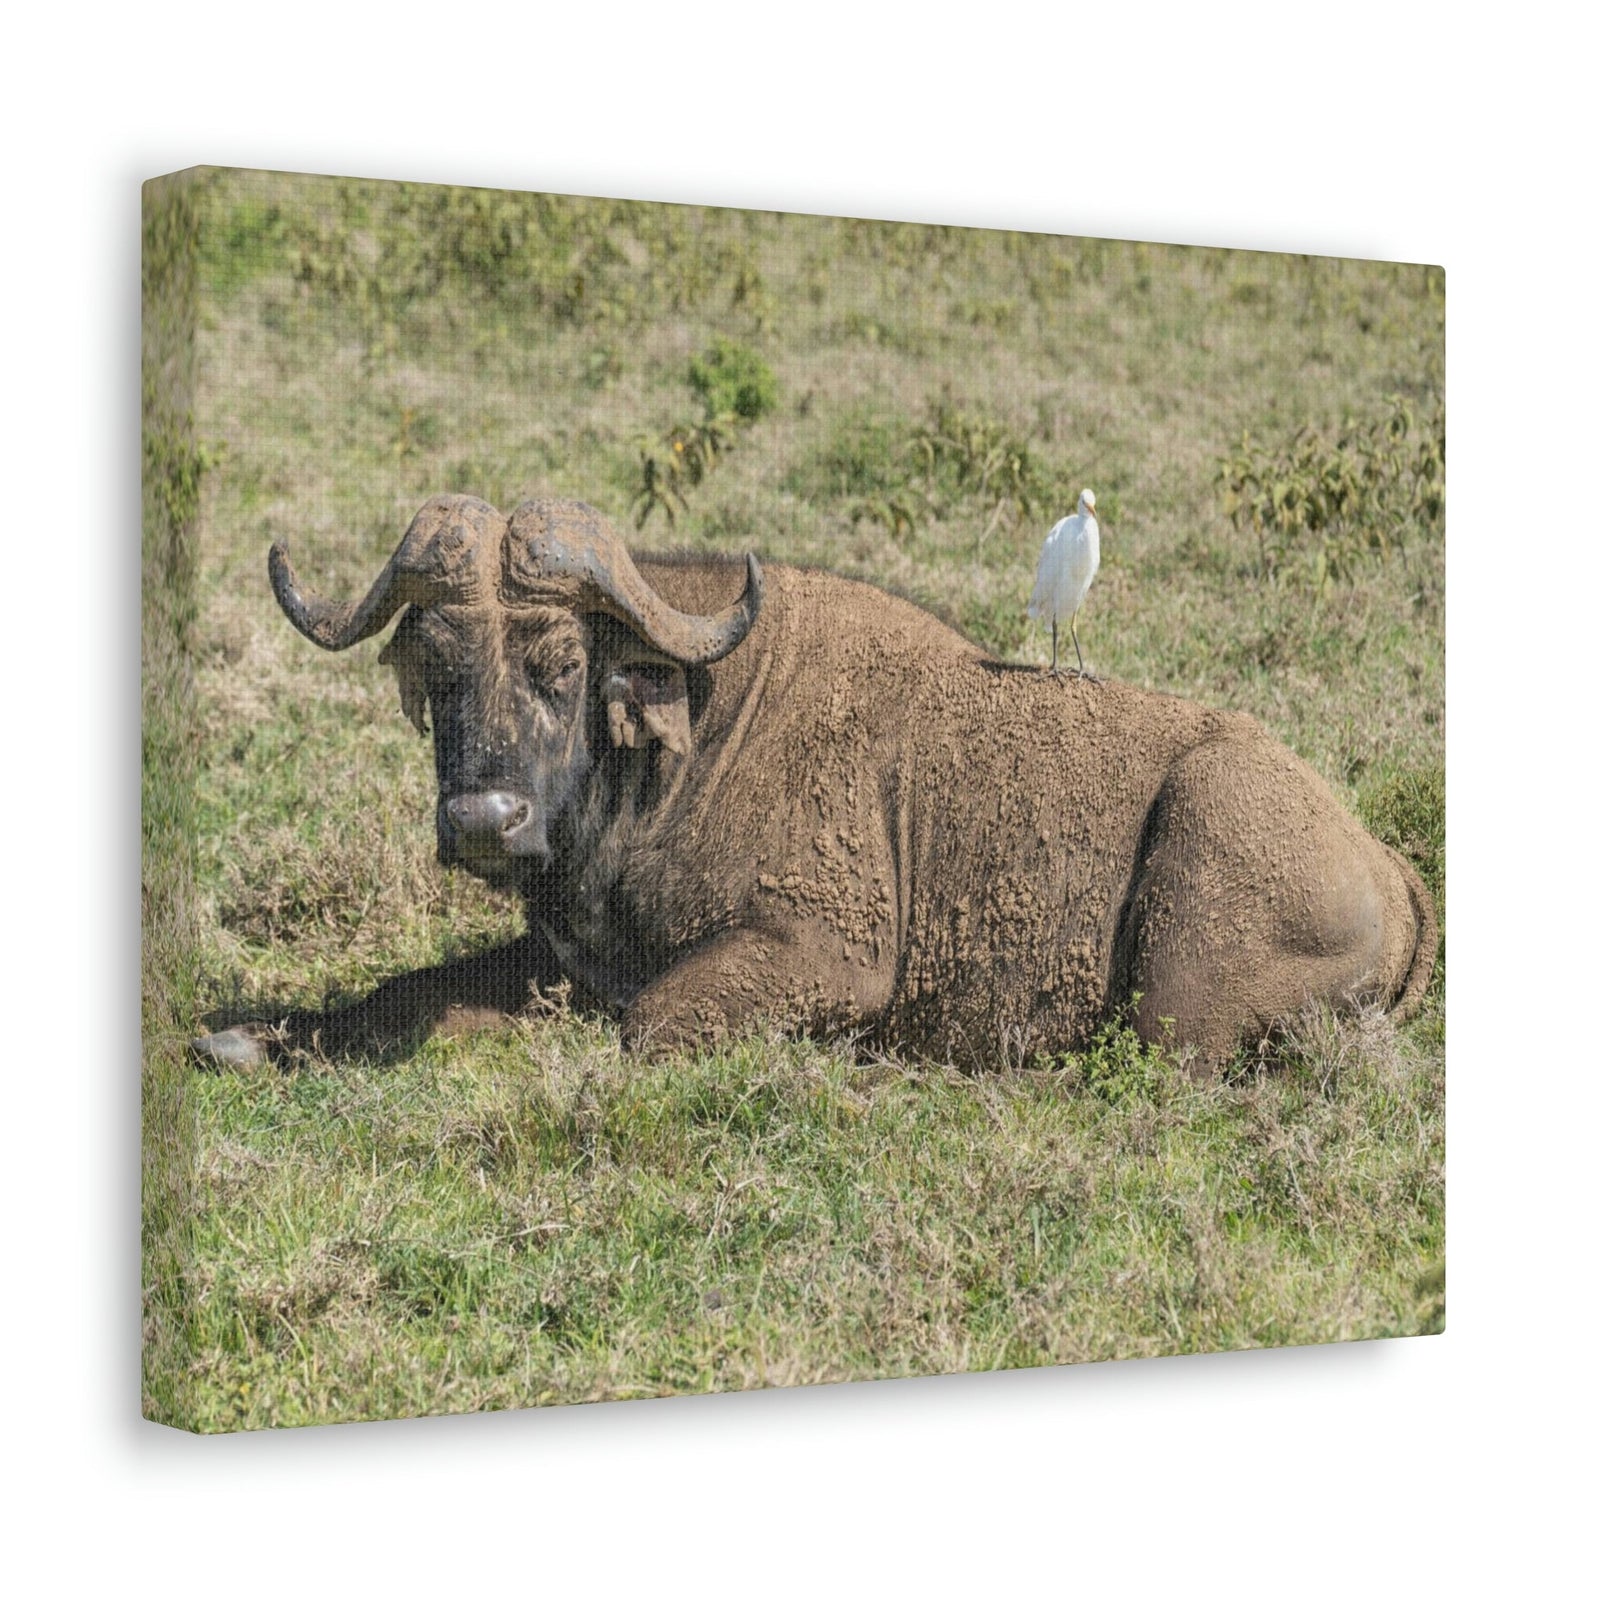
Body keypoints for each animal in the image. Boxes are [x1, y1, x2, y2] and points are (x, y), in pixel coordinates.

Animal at [194, 493, 1436, 1071]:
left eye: (560, 663)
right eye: (441, 665)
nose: (483, 820)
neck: (689, 739)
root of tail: (1385, 863)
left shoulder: (820, 958)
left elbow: (642, 1025)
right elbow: (403, 991)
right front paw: (251, 1038)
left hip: (1188, 939)